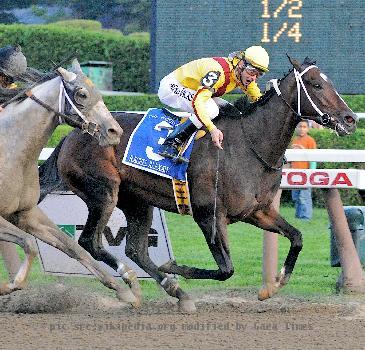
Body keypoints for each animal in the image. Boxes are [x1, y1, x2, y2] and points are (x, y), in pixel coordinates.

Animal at [0, 59, 135, 304]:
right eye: (82, 94)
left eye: (97, 92)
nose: (115, 131)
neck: (11, 152)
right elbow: (29, 244)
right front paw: (12, 284)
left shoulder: (25, 214)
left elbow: (72, 247)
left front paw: (124, 289)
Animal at [39, 57, 356, 312]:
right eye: (316, 85)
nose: (350, 118)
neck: (249, 145)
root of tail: (71, 134)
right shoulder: (209, 214)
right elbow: (226, 269)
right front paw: (173, 267)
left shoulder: (258, 211)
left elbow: (297, 237)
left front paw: (273, 285)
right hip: (103, 192)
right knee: (89, 241)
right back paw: (132, 283)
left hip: (137, 200)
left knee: (136, 250)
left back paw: (175, 290)